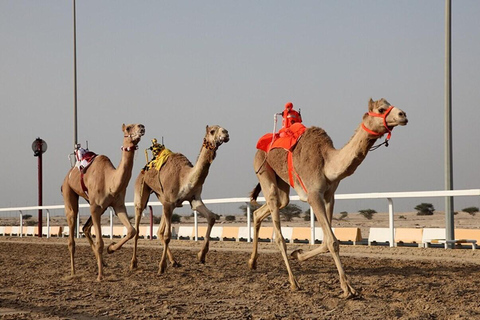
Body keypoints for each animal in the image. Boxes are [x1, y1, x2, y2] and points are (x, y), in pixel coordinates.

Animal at [61, 122, 145, 280]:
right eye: (128, 128)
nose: (142, 127)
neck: (109, 181)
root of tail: (68, 174)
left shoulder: (118, 205)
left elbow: (132, 230)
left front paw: (111, 248)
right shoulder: (95, 207)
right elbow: (100, 241)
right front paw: (100, 276)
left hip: (100, 206)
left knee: (85, 228)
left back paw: (102, 263)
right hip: (69, 193)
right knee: (72, 230)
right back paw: (73, 272)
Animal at [130, 124, 230, 272]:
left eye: (222, 129)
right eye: (212, 131)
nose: (226, 133)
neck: (185, 176)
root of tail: (144, 169)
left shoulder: (194, 199)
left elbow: (211, 217)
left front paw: (201, 256)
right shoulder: (169, 202)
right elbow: (167, 236)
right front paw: (161, 267)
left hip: (163, 199)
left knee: (159, 231)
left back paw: (174, 261)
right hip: (142, 189)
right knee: (139, 222)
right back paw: (133, 263)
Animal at [249, 99, 406, 298]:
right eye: (381, 109)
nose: (403, 115)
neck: (327, 162)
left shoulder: (329, 195)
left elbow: (326, 241)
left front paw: (298, 254)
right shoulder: (313, 195)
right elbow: (332, 241)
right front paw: (347, 289)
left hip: (282, 183)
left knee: (268, 208)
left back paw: (252, 262)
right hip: (262, 168)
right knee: (278, 232)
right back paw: (293, 282)